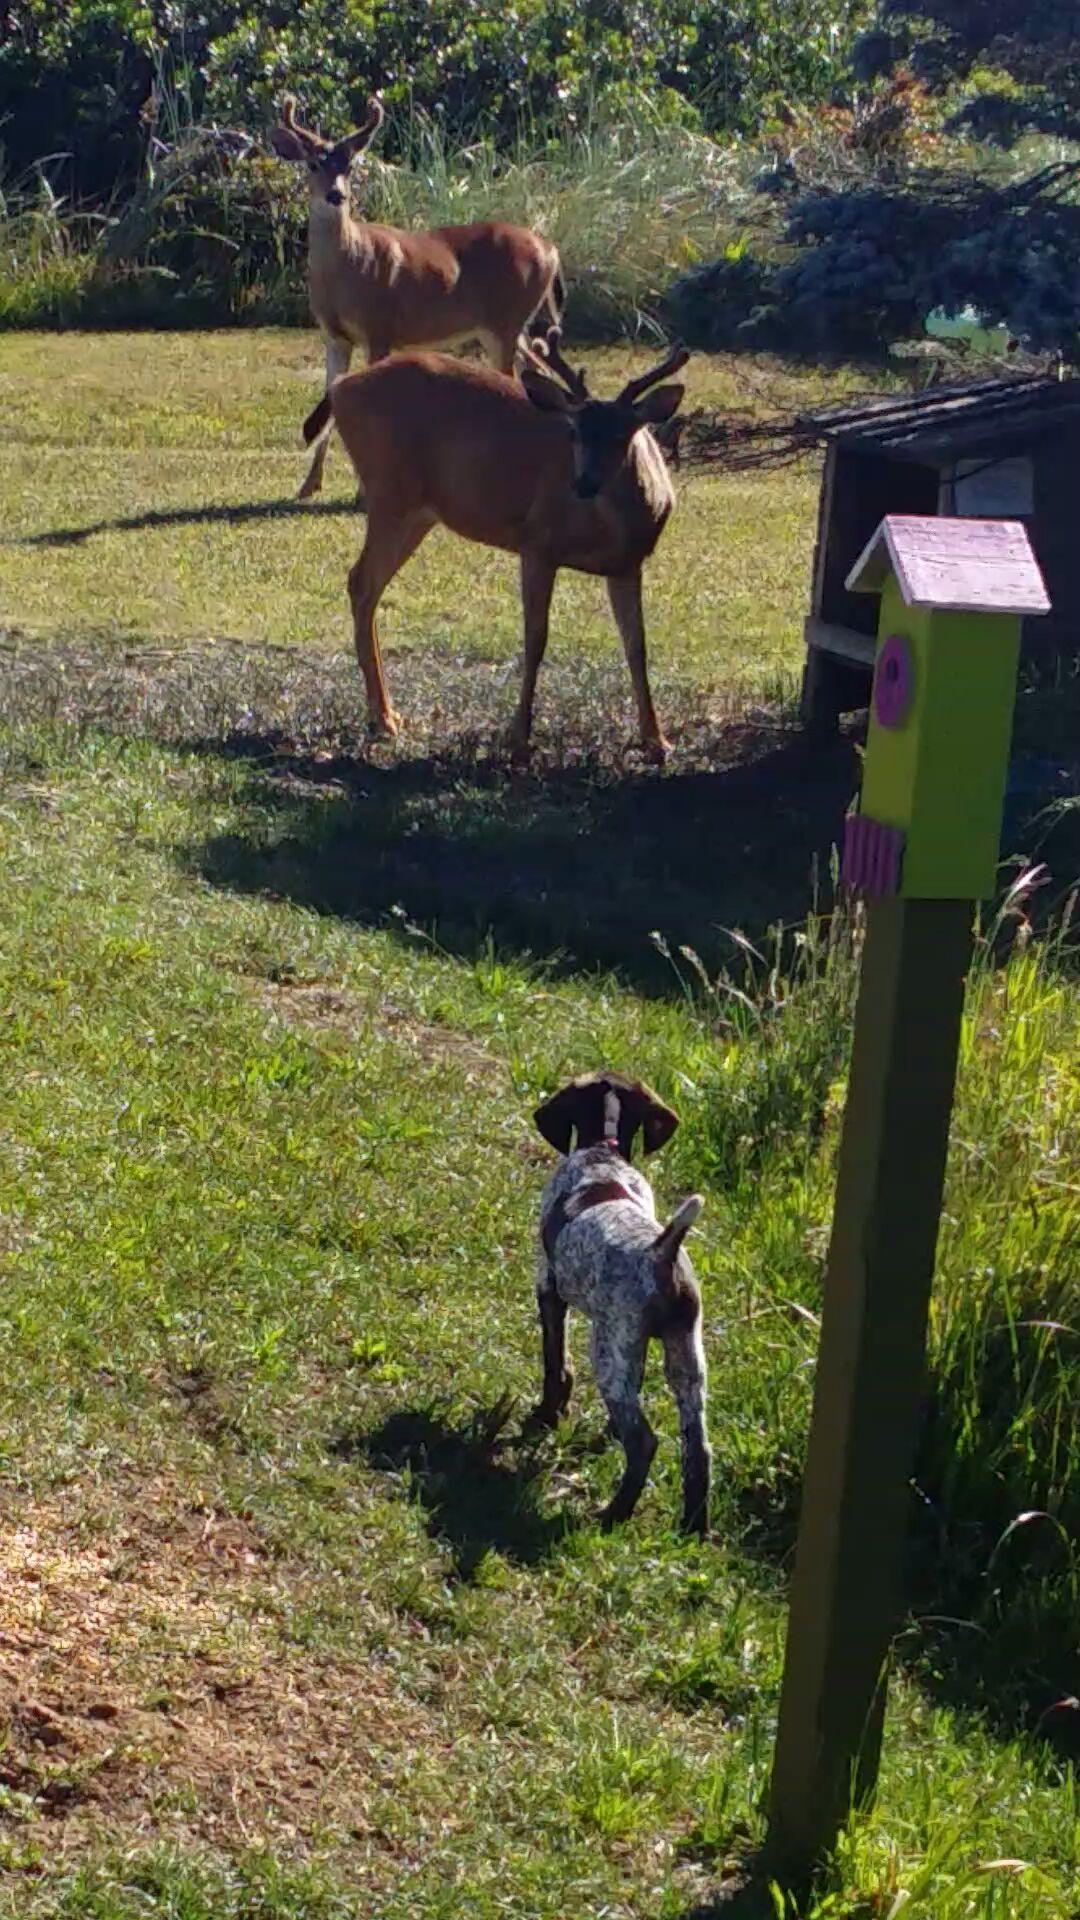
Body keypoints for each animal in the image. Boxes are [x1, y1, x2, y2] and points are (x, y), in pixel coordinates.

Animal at [267, 97, 557, 499]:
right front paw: (309, 485)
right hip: (508, 326)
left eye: (349, 164)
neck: (347, 269)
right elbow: (330, 398)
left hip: (505, 321)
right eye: (313, 164)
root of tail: (551, 250)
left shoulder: (380, 327)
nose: (336, 195)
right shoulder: (333, 335)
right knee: (537, 370)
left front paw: (362, 489)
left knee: (516, 377)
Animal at [299, 330, 687, 756]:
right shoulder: (537, 542)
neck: (610, 526)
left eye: (624, 435)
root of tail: (340, 387)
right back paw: (384, 718)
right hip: (391, 492)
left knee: (364, 584)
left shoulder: (628, 563)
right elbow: (536, 638)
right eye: (573, 432)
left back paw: (386, 715)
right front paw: (519, 732)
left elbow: (637, 644)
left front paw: (657, 739)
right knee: (362, 581)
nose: (583, 483)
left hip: (417, 512)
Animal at [526, 1075, 707, 1536]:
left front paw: (547, 1415)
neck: (603, 1152)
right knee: (698, 1449)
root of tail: (661, 1252)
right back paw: (694, 1525)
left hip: (608, 1353)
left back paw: (612, 1514)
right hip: (684, 1358)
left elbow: (555, 1363)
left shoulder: (549, 1288)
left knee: (644, 1441)